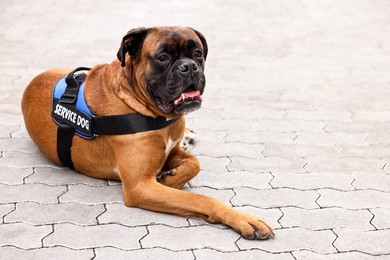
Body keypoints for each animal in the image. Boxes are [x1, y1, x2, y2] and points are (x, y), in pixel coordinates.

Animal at [21, 26, 274, 240]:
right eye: (162, 57)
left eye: (197, 53)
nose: (189, 66)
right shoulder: (140, 186)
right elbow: (200, 199)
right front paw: (244, 219)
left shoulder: (169, 150)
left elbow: (194, 163)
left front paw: (172, 176)